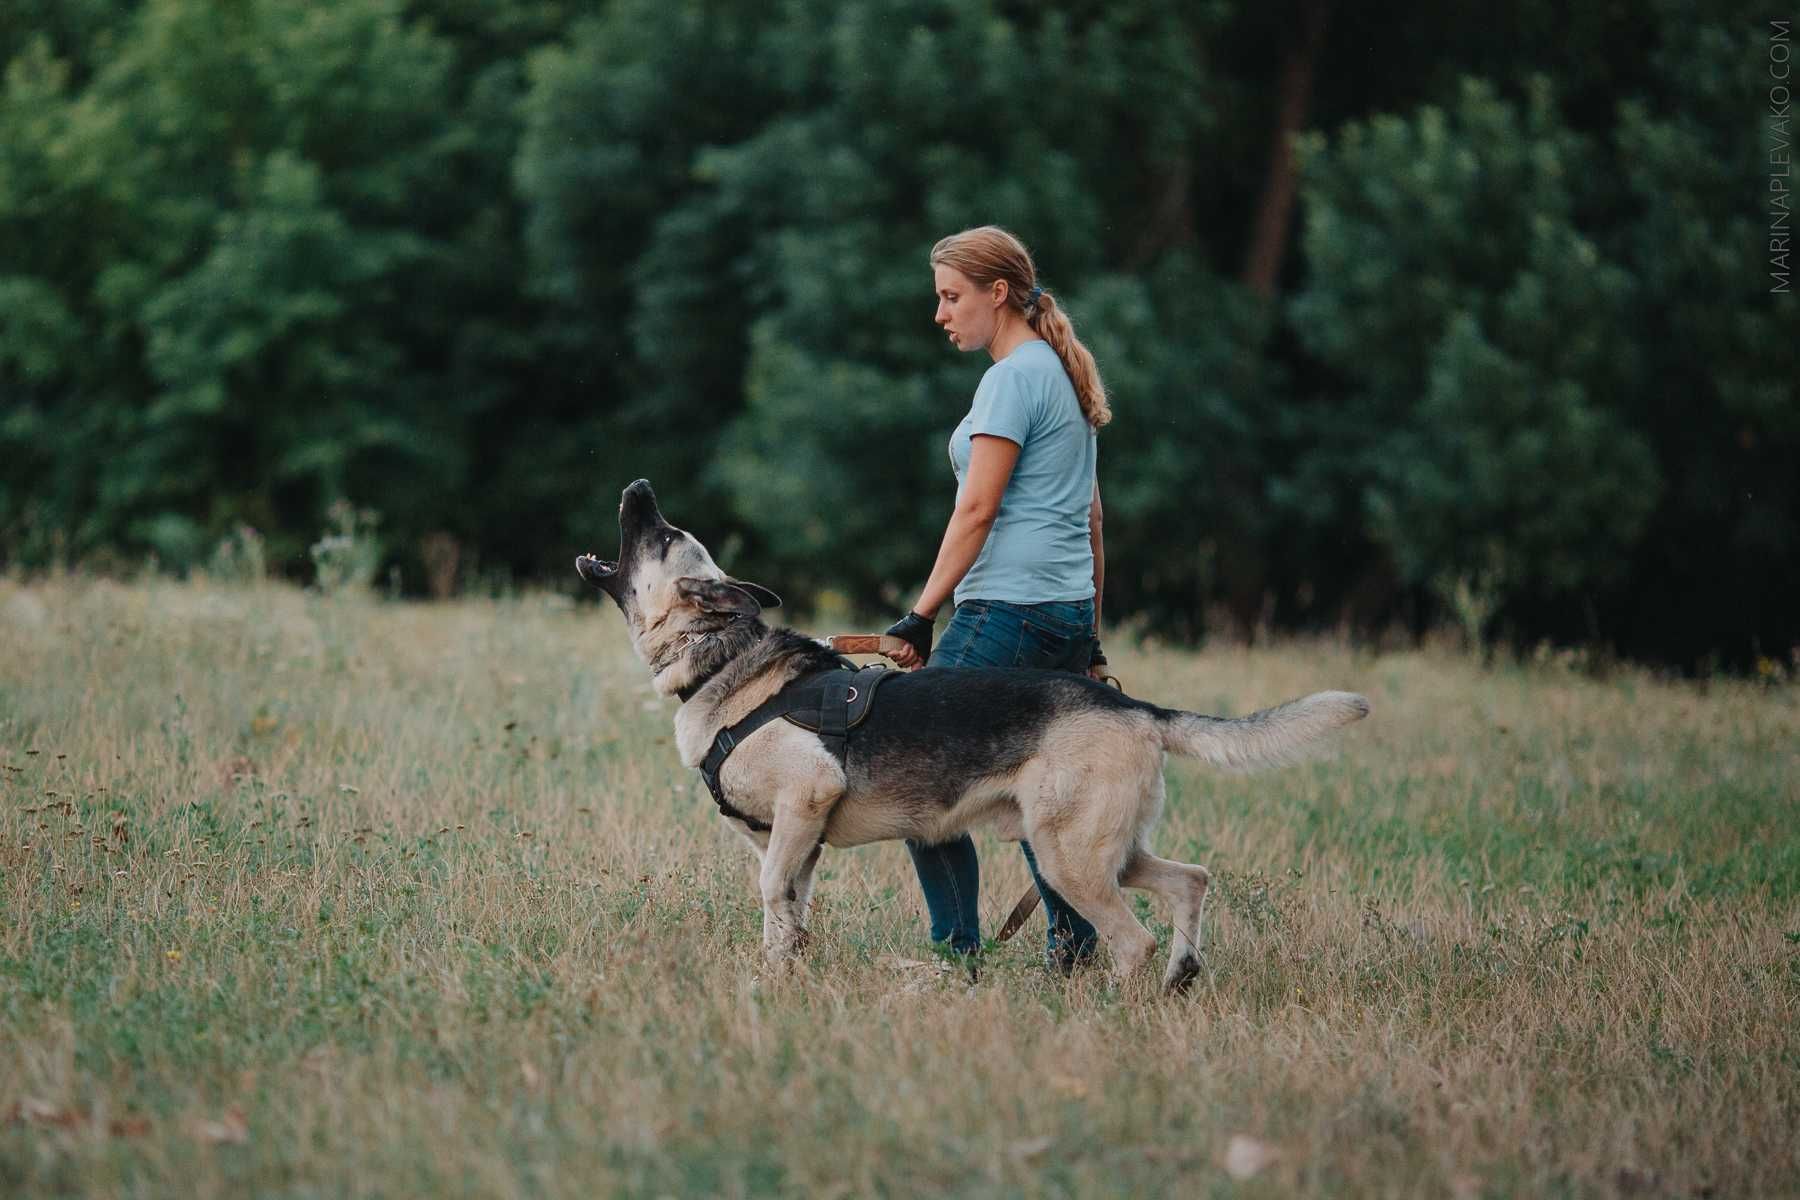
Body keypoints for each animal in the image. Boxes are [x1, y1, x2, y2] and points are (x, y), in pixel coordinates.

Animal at [576, 478, 1360, 993]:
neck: (721, 661)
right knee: (1189, 880)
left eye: (664, 535)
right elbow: (786, 911)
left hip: (1068, 858)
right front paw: (779, 977)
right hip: (1107, 850)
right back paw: (1181, 976)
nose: (639, 485)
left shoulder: (806, 801)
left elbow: (773, 893)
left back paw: (1115, 1009)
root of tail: (1135, 708)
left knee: (1132, 939)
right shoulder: (794, 843)